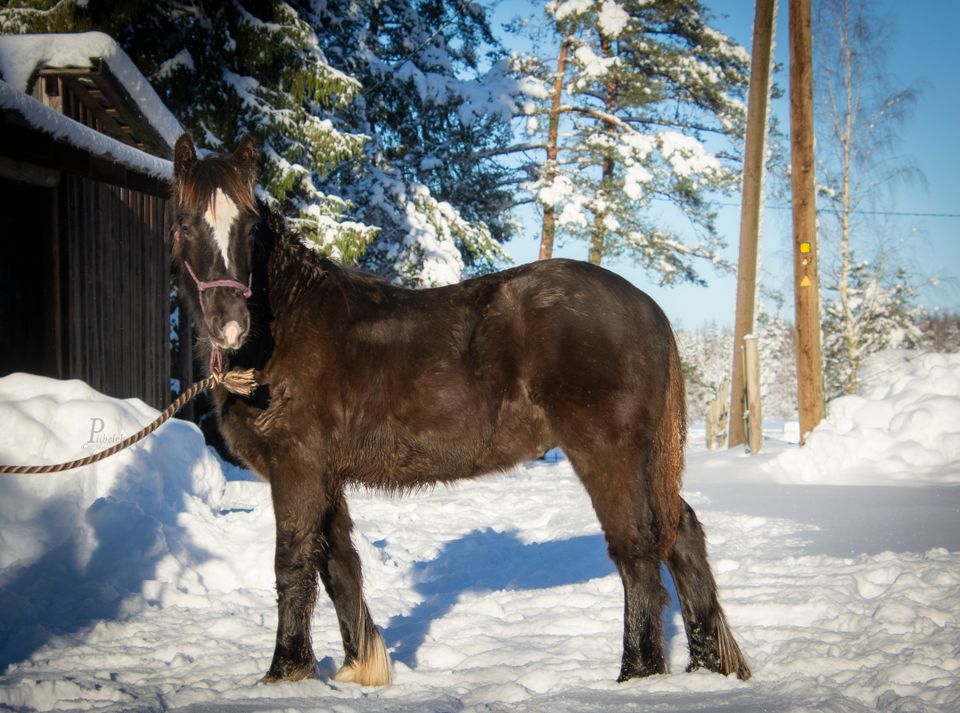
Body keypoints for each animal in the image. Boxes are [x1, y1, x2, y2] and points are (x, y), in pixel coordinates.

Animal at [171, 132, 752, 684]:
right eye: (184, 225)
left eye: (250, 229)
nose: (230, 326)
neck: (285, 330)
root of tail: (645, 306)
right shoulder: (324, 476)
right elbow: (339, 565)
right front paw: (362, 669)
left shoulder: (297, 468)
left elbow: (293, 563)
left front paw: (285, 672)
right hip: (644, 459)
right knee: (681, 533)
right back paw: (708, 666)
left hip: (609, 453)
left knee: (636, 549)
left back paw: (638, 674)